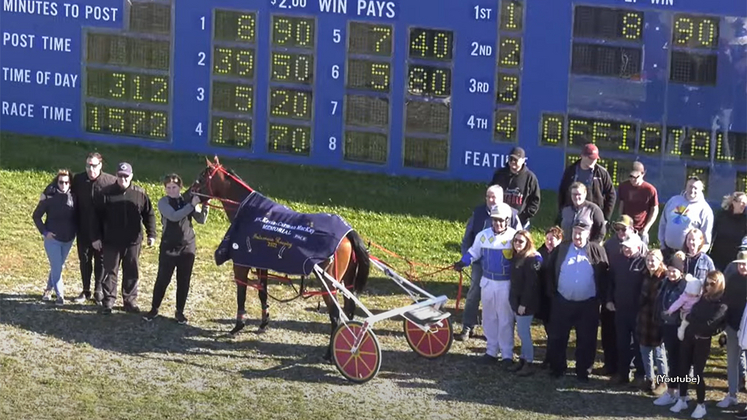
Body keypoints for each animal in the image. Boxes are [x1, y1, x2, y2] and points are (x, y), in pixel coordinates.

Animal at [190, 158, 372, 360]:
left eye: (200, 178)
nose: (187, 194)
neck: (250, 212)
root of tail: (348, 233)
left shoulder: (241, 264)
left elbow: (241, 295)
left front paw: (238, 325)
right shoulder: (260, 263)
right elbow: (262, 292)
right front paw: (263, 322)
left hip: (328, 283)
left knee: (336, 316)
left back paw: (330, 353)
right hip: (346, 282)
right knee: (348, 310)